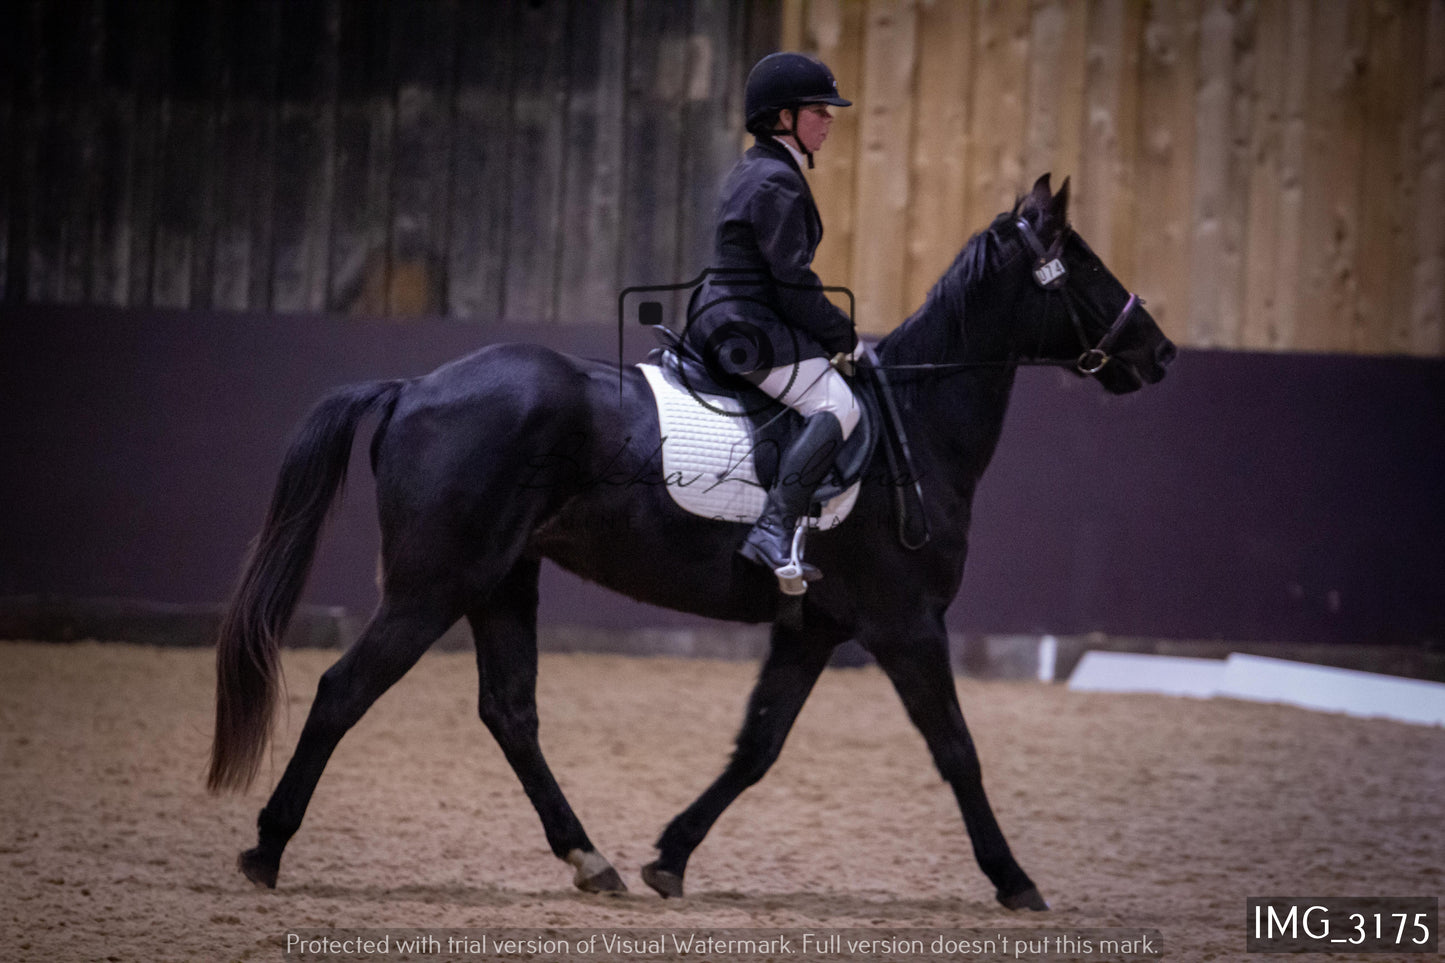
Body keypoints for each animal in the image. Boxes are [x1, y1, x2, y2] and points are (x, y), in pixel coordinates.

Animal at [206, 174, 1173, 908]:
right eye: (1084, 263)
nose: (1158, 354)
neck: (917, 423)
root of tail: (413, 386)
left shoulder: (815, 627)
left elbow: (757, 747)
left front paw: (669, 855)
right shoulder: (906, 624)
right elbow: (957, 750)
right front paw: (1014, 879)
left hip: (500, 581)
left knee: (510, 713)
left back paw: (590, 859)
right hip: (431, 586)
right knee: (343, 690)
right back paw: (266, 849)